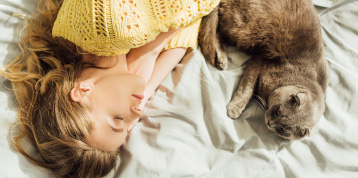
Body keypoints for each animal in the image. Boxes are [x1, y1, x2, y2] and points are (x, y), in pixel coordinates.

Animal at [200, 0, 328, 140]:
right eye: (278, 110)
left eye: (283, 131)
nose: (270, 123)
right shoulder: (260, 59)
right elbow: (247, 88)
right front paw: (234, 109)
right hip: (245, 29)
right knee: (219, 28)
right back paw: (222, 59)